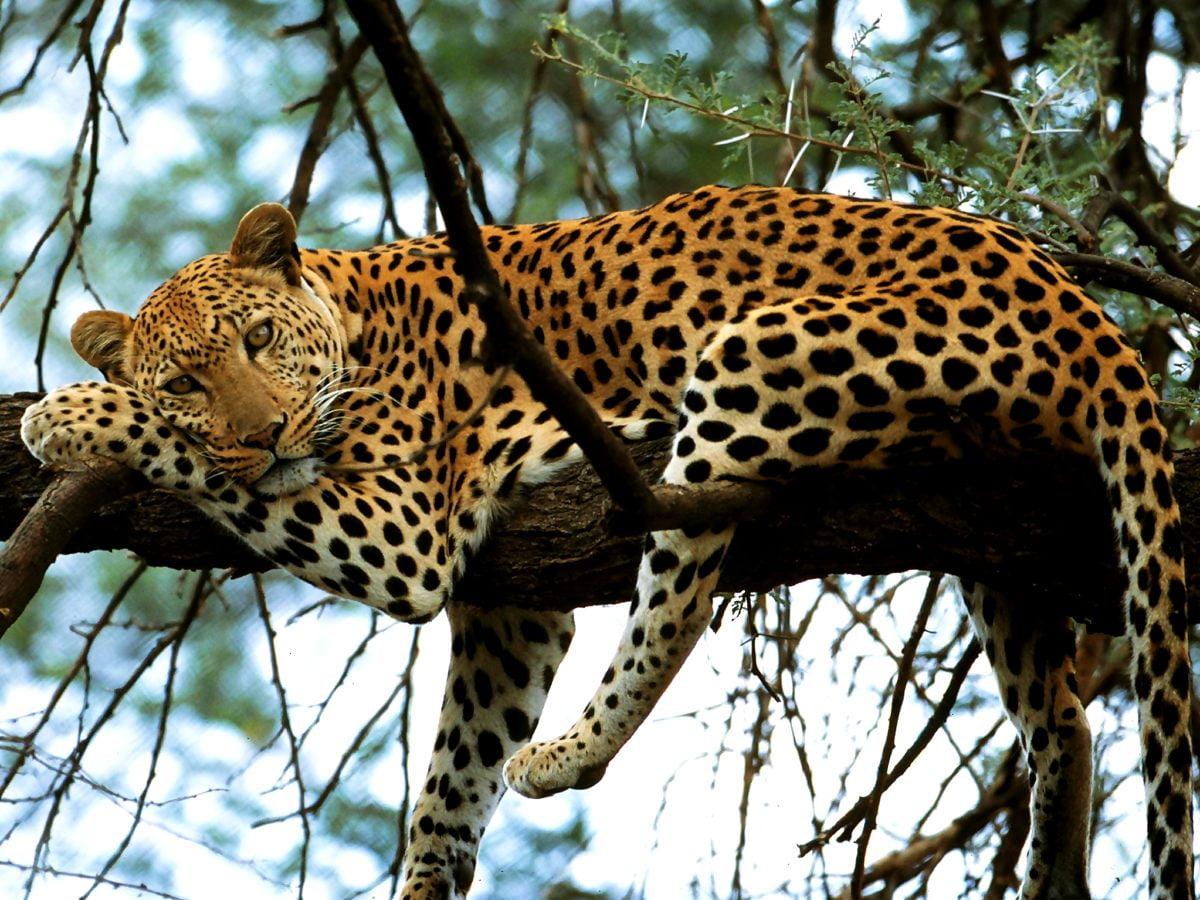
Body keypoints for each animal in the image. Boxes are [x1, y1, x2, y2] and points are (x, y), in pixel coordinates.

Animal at [20, 184, 1194, 899]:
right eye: (186, 380)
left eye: (259, 340)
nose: (264, 435)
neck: (354, 315)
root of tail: (1086, 311)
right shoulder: (508, 610)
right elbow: (452, 775)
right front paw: (428, 878)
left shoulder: (404, 530)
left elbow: (208, 472)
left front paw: (68, 414)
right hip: (998, 542)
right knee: (1064, 719)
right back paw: (1051, 869)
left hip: (750, 358)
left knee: (679, 592)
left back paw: (570, 753)